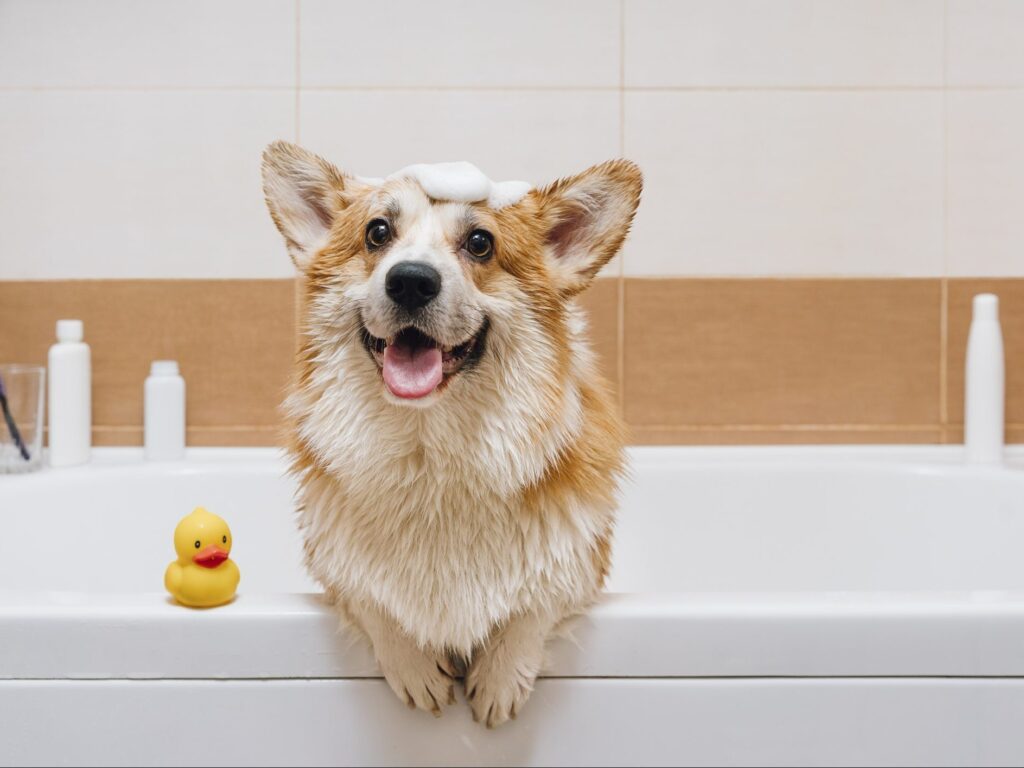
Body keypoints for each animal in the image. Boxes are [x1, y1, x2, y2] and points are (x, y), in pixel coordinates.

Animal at [260, 143, 638, 729]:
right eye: (377, 232)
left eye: (480, 243)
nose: (411, 281)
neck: (430, 453)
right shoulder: (334, 562)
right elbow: (373, 598)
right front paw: (416, 670)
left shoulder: (579, 561)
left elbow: (536, 602)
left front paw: (499, 679)